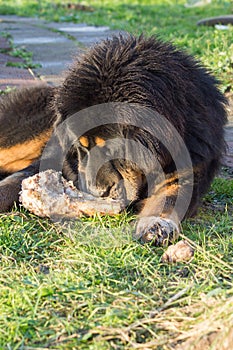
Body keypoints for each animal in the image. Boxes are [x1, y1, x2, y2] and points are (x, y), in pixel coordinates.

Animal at [0, 34, 227, 245]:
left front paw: (156, 225)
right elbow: (15, 181)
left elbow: (169, 201)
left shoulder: (186, 172)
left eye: (113, 151)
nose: (98, 193)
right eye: (82, 149)